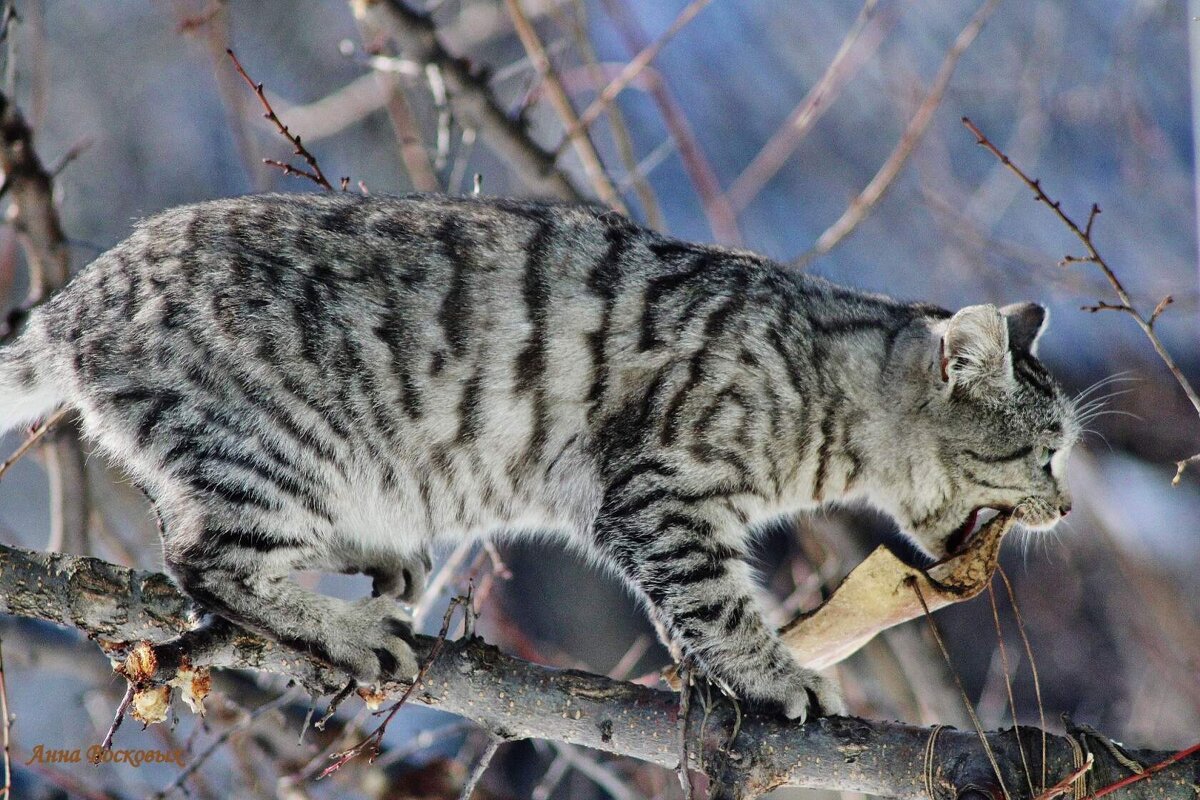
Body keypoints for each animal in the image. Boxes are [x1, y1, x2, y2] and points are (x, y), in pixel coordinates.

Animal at [0, 194, 1080, 719]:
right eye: (1047, 451)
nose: (1067, 509)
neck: (823, 387)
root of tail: (75, 298)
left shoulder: (641, 511)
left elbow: (692, 611)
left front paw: (718, 677)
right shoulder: (657, 489)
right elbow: (718, 601)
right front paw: (775, 675)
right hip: (272, 454)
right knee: (204, 558)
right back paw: (346, 632)